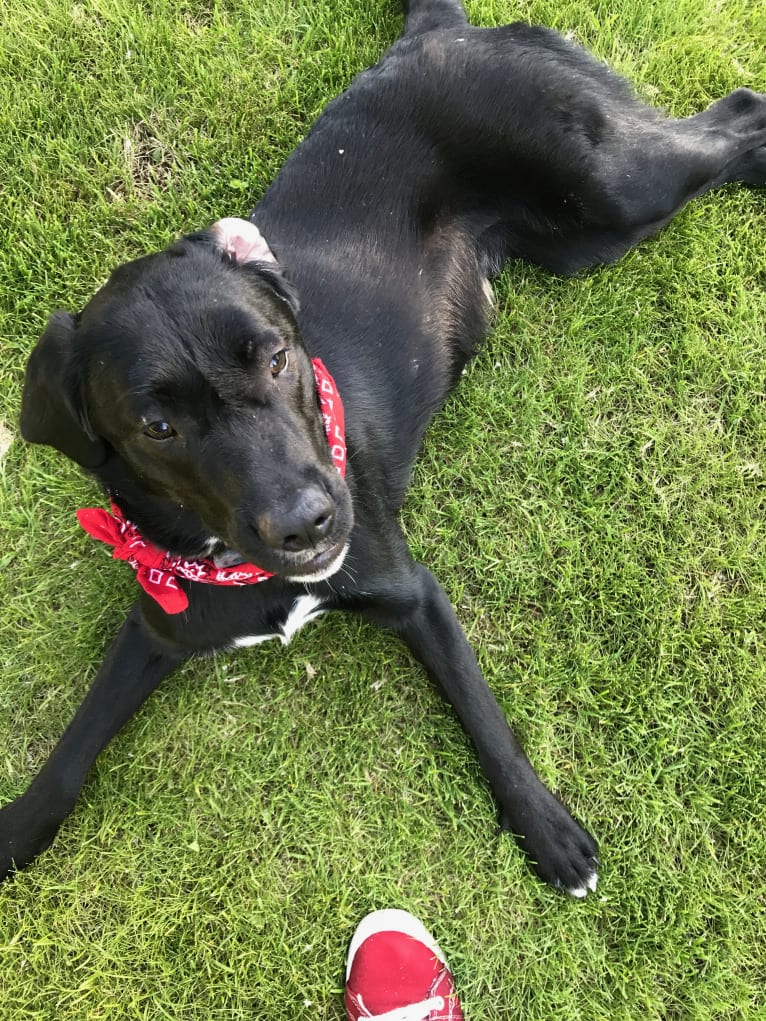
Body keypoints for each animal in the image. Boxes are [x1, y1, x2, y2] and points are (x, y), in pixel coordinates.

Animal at [6, 0, 766, 894]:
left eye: (277, 357)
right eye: (158, 427)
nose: (311, 522)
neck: (237, 564)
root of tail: (437, 28)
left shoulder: (416, 595)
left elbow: (486, 718)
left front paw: (548, 831)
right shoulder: (155, 628)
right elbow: (74, 742)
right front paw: (15, 829)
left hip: (613, 186)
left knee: (740, 116)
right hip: (594, 234)